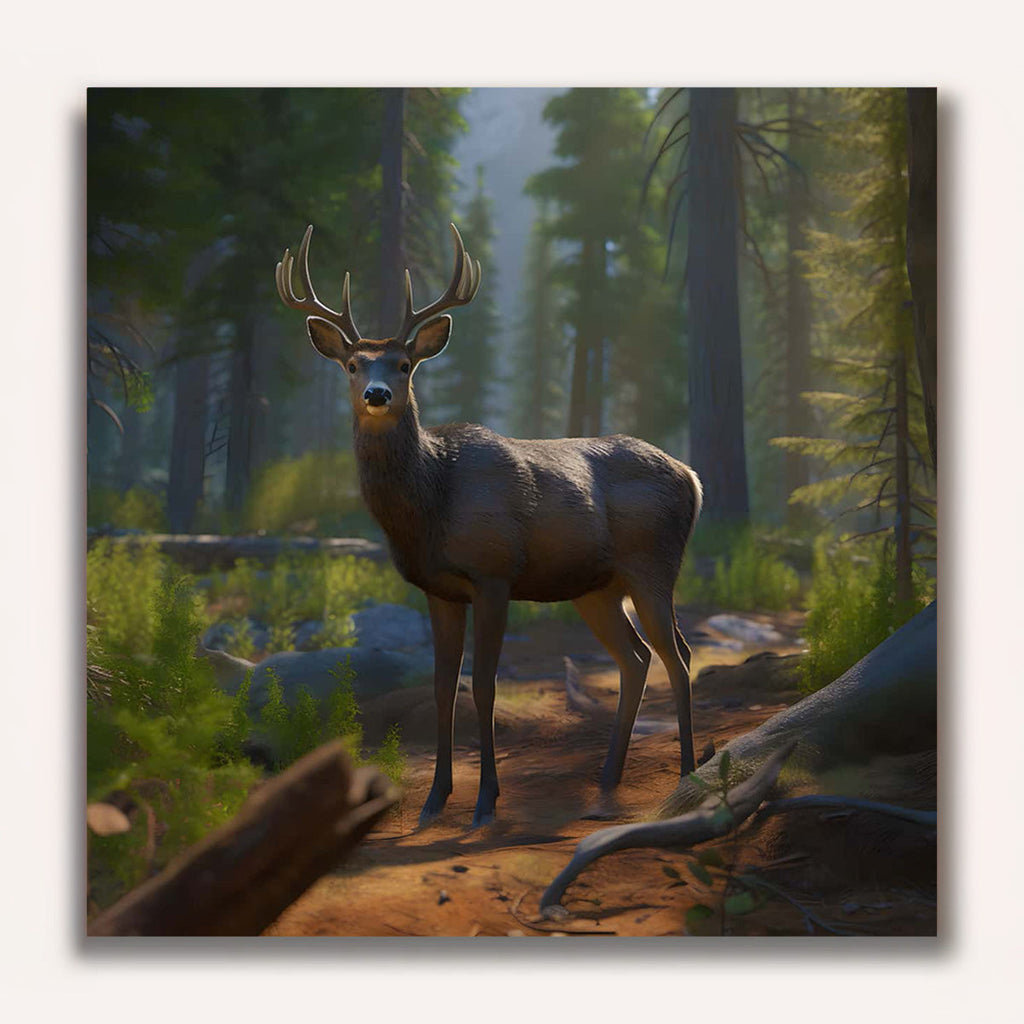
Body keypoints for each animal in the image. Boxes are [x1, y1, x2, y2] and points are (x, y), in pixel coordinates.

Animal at [275, 223, 703, 828]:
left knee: (679, 656)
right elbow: (441, 689)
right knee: (636, 657)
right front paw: (434, 801)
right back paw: (607, 779)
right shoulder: (438, 590)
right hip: (596, 589)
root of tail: (692, 477)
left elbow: (483, 687)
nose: (377, 395)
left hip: (653, 565)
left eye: (404, 364)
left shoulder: (494, 574)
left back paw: (689, 774)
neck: (432, 502)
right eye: (353, 365)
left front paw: (485, 802)